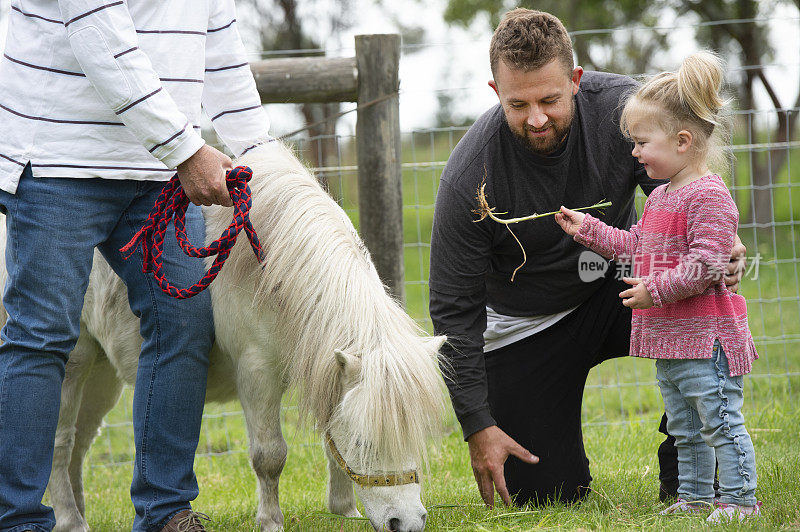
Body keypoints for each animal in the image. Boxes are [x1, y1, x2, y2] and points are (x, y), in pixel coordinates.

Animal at [0, 142, 450, 532]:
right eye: (362, 440)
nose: (407, 523)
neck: (273, 268)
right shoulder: (257, 370)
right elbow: (270, 456)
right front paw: (271, 522)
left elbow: (328, 441)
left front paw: (345, 512)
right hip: (71, 363)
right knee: (58, 444)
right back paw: (70, 520)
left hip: (102, 376)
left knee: (79, 444)